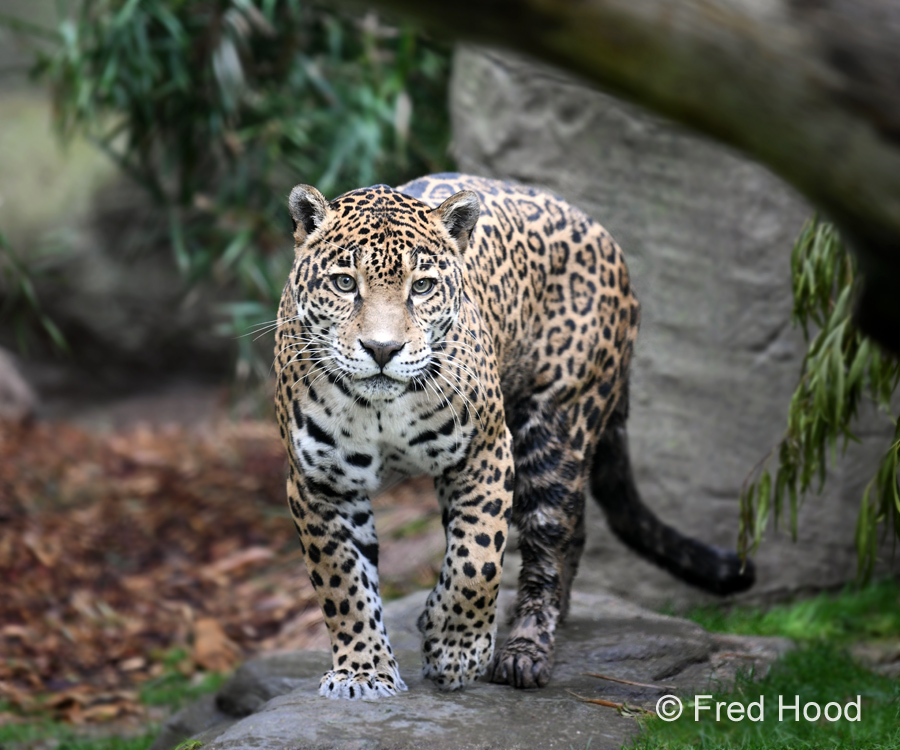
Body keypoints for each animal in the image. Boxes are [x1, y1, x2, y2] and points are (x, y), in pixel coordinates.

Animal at [273, 173, 754, 700]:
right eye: (344, 283)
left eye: (422, 286)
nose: (383, 349)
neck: (382, 409)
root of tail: (603, 233)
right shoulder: (320, 482)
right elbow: (342, 582)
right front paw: (362, 671)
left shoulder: (486, 451)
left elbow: (477, 559)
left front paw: (457, 648)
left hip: (556, 424)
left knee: (551, 538)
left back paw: (525, 649)